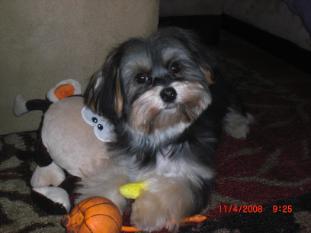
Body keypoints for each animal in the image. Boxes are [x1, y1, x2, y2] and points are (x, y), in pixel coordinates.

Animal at [76, 27, 254, 231]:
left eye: (175, 68)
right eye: (141, 77)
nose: (168, 93)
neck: (161, 131)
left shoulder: (194, 173)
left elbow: (173, 187)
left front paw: (145, 214)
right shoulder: (124, 159)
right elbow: (108, 177)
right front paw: (97, 201)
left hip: (225, 91)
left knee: (234, 107)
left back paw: (238, 127)